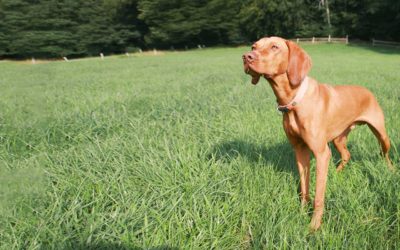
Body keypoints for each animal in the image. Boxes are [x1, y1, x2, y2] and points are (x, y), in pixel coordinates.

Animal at [242, 36, 392, 230]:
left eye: (274, 47)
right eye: (254, 46)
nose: (246, 56)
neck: (293, 100)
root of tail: (367, 90)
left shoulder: (321, 153)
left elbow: (319, 196)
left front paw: (314, 226)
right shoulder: (300, 150)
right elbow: (304, 188)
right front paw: (301, 213)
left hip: (381, 134)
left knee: (384, 154)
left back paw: (391, 170)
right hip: (338, 138)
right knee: (346, 154)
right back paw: (336, 173)